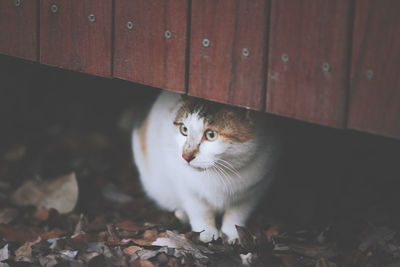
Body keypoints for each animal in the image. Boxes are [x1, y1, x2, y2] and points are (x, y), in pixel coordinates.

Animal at [132, 91, 282, 244]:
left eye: (211, 135)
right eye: (184, 129)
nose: (186, 156)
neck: (219, 174)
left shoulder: (254, 190)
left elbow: (237, 214)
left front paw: (233, 234)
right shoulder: (186, 187)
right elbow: (200, 210)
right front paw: (206, 233)